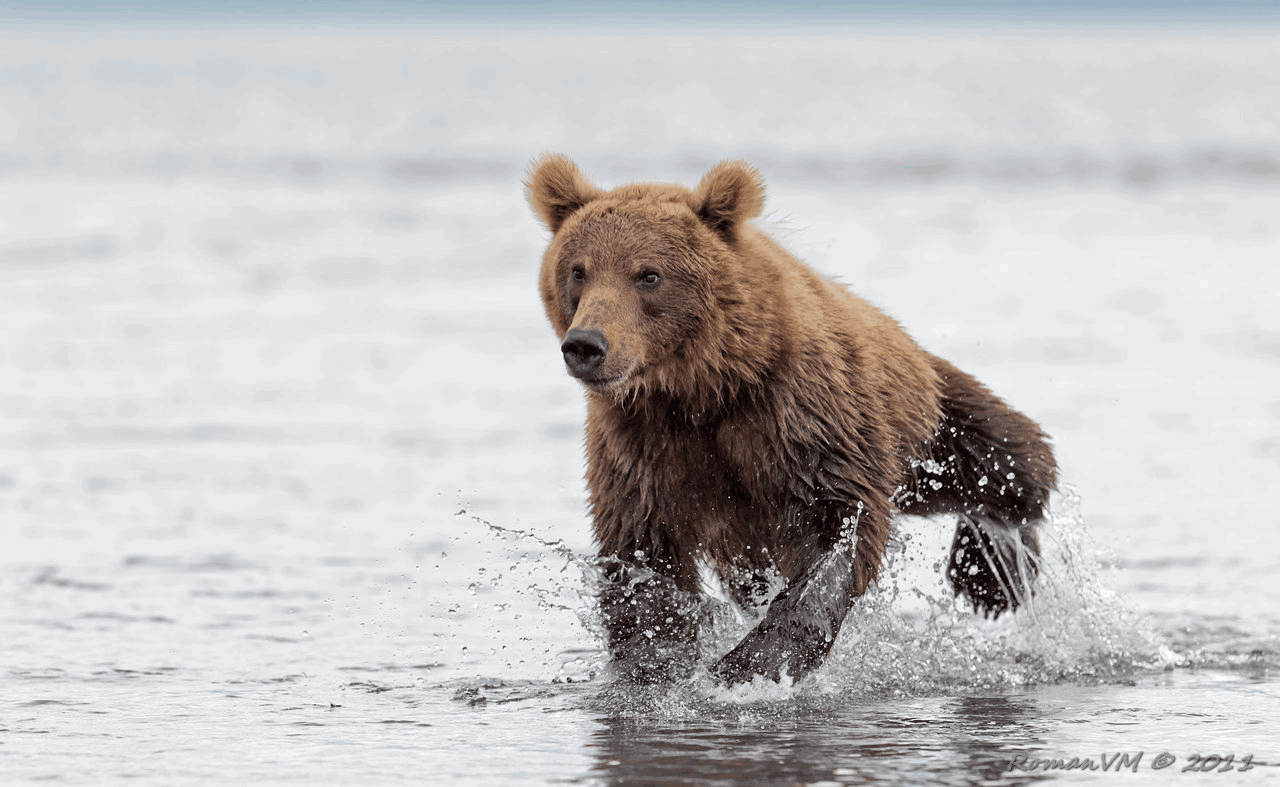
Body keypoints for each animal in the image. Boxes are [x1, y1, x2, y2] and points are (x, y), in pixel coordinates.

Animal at [525, 154, 1057, 686]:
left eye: (648, 275)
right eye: (578, 271)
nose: (587, 345)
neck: (702, 389)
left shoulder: (800, 416)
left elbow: (839, 525)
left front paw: (749, 663)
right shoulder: (641, 445)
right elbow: (643, 558)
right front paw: (656, 662)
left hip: (924, 421)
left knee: (1004, 460)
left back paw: (992, 574)